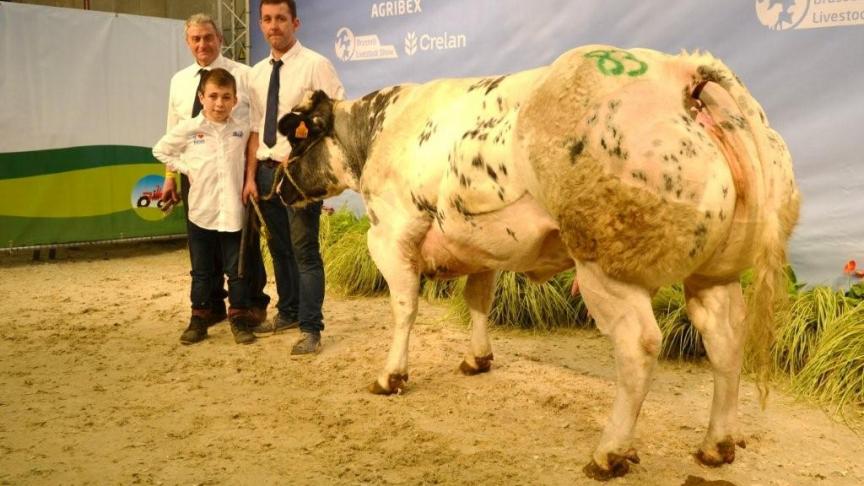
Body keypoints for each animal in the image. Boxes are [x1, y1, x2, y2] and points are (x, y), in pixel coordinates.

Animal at [272, 45, 804, 478]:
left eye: (296, 141)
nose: (277, 189)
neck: (379, 130)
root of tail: (677, 69)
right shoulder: (478, 242)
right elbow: (478, 300)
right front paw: (477, 359)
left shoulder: (391, 229)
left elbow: (404, 308)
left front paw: (391, 377)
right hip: (713, 271)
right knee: (725, 339)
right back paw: (717, 445)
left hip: (605, 261)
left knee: (639, 345)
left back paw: (609, 453)